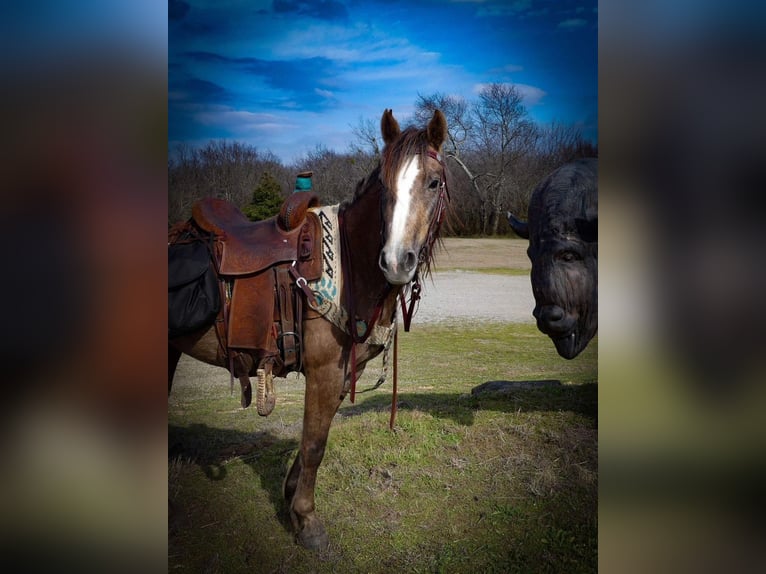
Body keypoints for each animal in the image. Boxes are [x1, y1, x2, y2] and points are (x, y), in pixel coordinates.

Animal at [169, 108, 450, 550]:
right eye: (385, 187)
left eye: (434, 182)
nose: (395, 262)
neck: (351, 264)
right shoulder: (323, 372)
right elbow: (316, 442)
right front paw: (307, 520)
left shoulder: (344, 371)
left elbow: (313, 436)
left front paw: (290, 498)